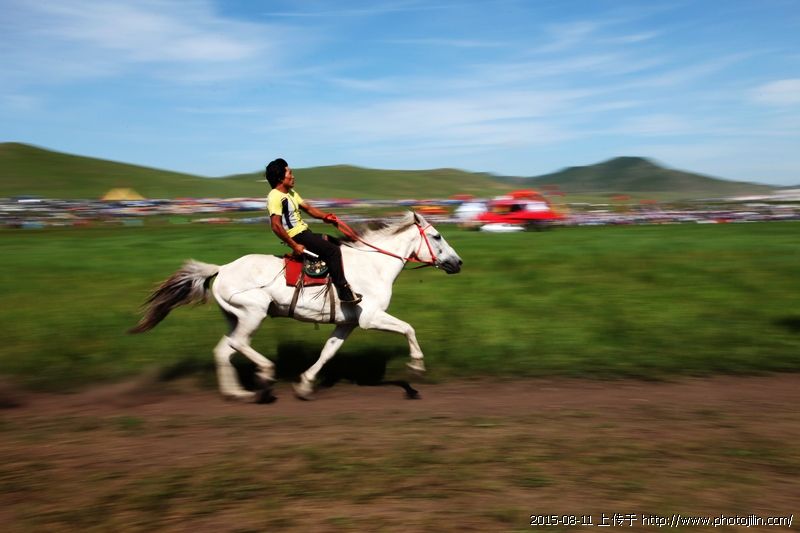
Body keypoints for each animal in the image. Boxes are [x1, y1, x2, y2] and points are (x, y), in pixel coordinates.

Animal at [129, 211, 463, 402]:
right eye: (437, 236)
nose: (457, 263)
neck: (374, 265)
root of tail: (221, 268)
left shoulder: (346, 323)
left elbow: (327, 353)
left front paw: (304, 385)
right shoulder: (370, 317)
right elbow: (408, 328)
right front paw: (416, 368)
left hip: (234, 317)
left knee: (223, 350)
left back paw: (237, 393)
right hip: (254, 311)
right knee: (239, 345)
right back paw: (265, 376)